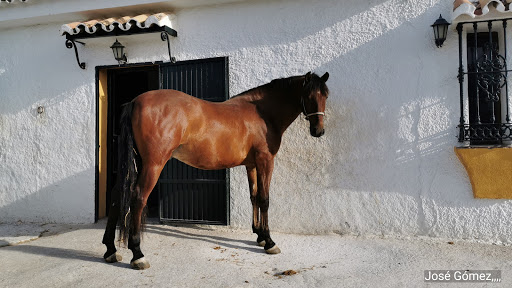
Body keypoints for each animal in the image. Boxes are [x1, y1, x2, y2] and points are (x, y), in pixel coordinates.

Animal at [102, 71, 330, 268]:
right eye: (308, 95)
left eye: (325, 95)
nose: (319, 131)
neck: (262, 113)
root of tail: (134, 102)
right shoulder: (266, 161)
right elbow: (265, 199)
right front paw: (270, 241)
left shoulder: (251, 165)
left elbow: (254, 197)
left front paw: (259, 235)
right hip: (153, 164)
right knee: (138, 198)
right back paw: (138, 254)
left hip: (136, 163)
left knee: (115, 196)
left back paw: (110, 250)